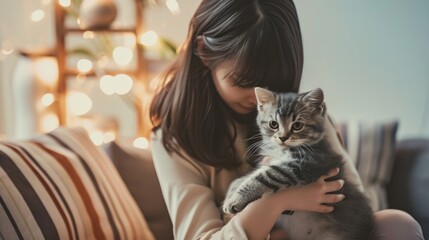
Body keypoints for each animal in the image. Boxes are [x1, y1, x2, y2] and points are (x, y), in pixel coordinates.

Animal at [222, 87, 372, 240]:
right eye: (273, 124)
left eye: (298, 125)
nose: (282, 137)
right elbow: (248, 176)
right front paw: (231, 192)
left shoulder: (309, 163)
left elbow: (266, 174)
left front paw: (236, 199)